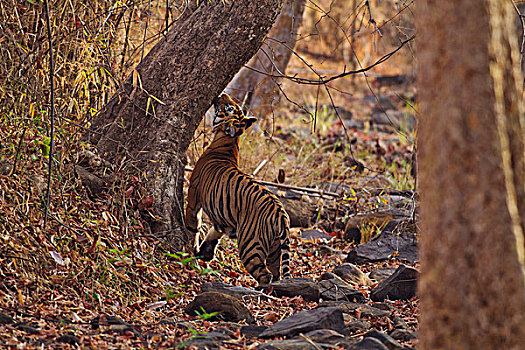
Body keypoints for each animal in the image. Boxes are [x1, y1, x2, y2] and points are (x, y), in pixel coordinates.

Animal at [184, 92, 290, 284]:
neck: (230, 140)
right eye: (237, 107)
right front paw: (204, 254)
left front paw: (192, 245)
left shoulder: (194, 196)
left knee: (265, 275)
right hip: (275, 249)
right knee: (277, 273)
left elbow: (194, 224)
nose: (223, 94)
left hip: (250, 246)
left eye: (230, 108)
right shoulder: (224, 219)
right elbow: (214, 233)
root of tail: (281, 215)